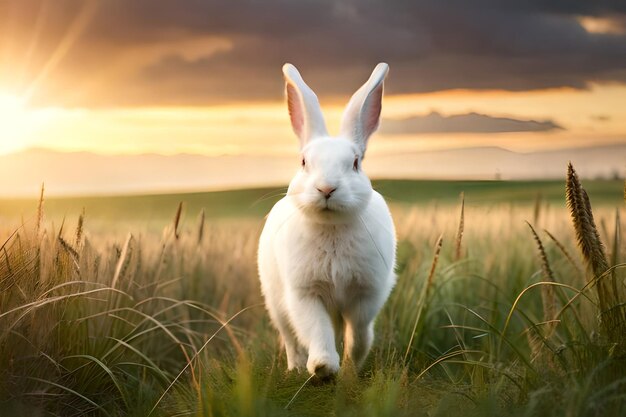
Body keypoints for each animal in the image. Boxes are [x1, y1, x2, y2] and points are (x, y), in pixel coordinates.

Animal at [255, 61, 394, 376]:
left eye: (355, 163)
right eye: (304, 162)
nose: (327, 188)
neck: (331, 228)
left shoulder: (365, 294)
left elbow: (359, 334)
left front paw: (352, 366)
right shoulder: (305, 295)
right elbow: (316, 330)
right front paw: (323, 367)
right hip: (276, 302)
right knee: (291, 339)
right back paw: (295, 368)